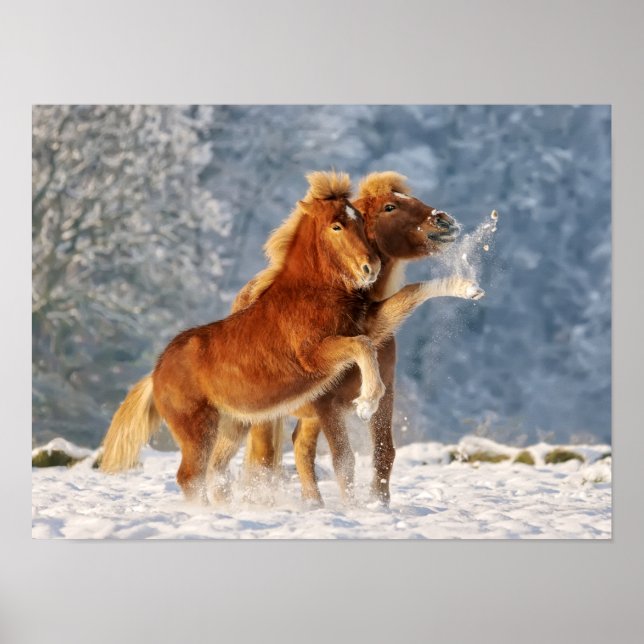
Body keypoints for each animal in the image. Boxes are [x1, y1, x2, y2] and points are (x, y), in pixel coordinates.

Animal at [99, 171, 386, 502]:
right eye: (336, 226)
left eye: (360, 221)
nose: (371, 267)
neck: (309, 294)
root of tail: (155, 374)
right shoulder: (314, 356)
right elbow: (361, 346)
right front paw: (367, 402)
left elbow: (372, 338)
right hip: (198, 430)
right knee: (190, 476)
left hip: (232, 426)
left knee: (214, 471)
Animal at [216, 171, 484, 506]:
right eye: (390, 207)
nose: (445, 221)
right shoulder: (327, 404)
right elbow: (343, 460)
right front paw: (352, 508)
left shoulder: (386, 394)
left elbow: (384, 454)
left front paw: (379, 504)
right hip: (267, 415)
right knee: (261, 459)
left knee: (299, 449)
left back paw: (314, 505)